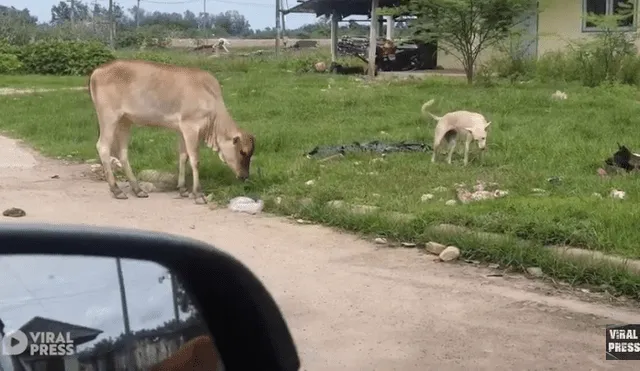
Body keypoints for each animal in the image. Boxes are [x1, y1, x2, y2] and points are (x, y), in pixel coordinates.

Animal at [87, 59, 255, 203]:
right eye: (242, 152)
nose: (245, 176)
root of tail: (98, 70)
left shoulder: (182, 130)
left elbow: (183, 157)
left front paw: (182, 189)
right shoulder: (191, 127)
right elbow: (195, 160)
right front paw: (198, 194)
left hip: (124, 121)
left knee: (122, 153)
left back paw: (137, 189)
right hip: (109, 117)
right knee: (103, 147)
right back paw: (116, 190)